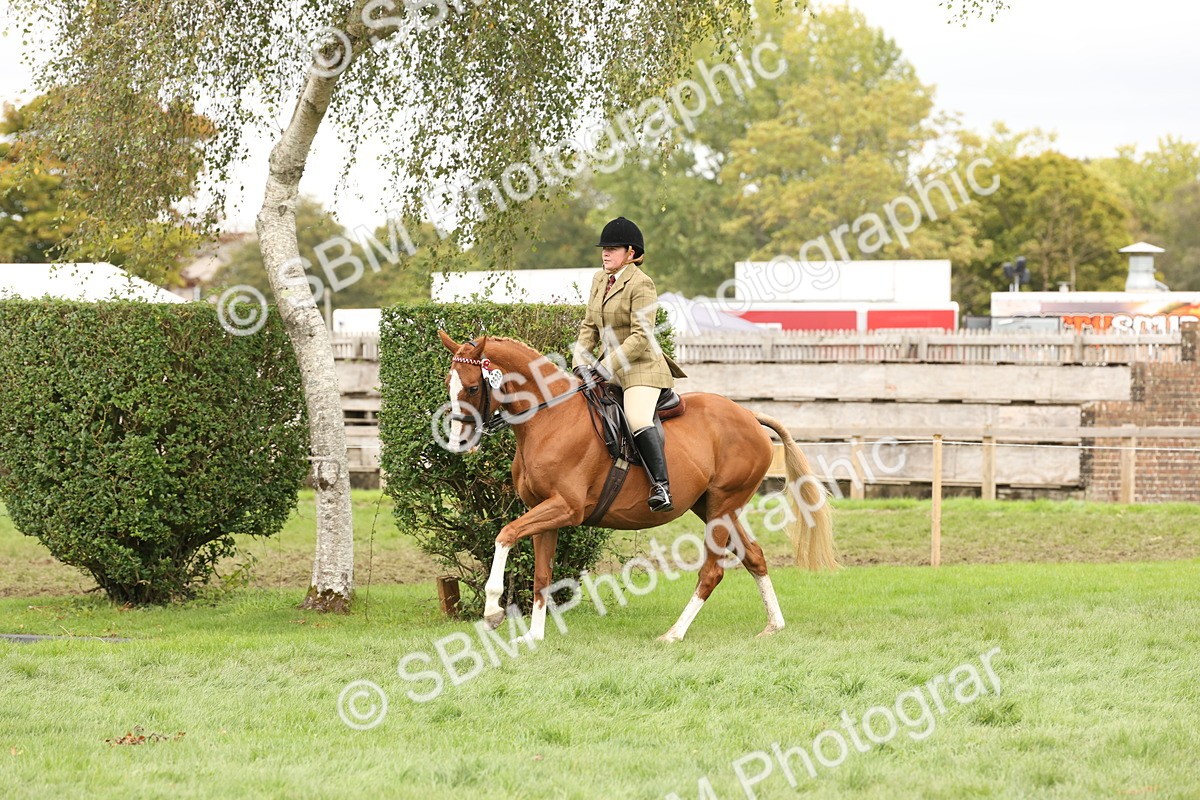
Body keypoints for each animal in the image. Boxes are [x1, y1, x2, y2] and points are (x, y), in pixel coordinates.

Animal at [438, 331, 836, 643]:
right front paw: (534, 636)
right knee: (754, 555)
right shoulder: (543, 511)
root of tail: (750, 416)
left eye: (472, 387)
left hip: (722, 506)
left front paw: (492, 611)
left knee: (712, 571)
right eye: (448, 384)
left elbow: (504, 535)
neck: (549, 418)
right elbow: (541, 575)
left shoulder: (565, 507)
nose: (457, 442)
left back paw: (674, 633)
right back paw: (774, 625)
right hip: (713, 507)